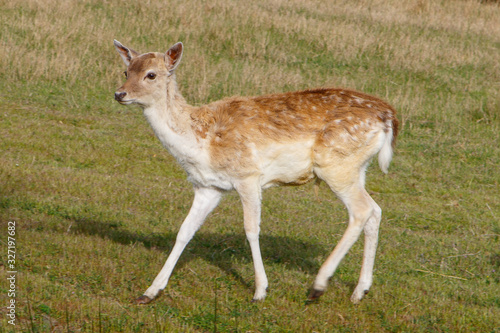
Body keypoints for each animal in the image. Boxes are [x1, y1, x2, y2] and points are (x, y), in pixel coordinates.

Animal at [113, 39, 398, 304]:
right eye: (126, 71)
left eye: (151, 74)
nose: (119, 94)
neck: (201, 142)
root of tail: (389, 118)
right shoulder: (208, 186)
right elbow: (184, 230)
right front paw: (150, 291)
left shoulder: (247, 175)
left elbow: (251, 229)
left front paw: (260, 290)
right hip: (357, 168)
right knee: (375, 210)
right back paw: (359, 291)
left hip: (336, 166)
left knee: (361, 211)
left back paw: (318, 286)